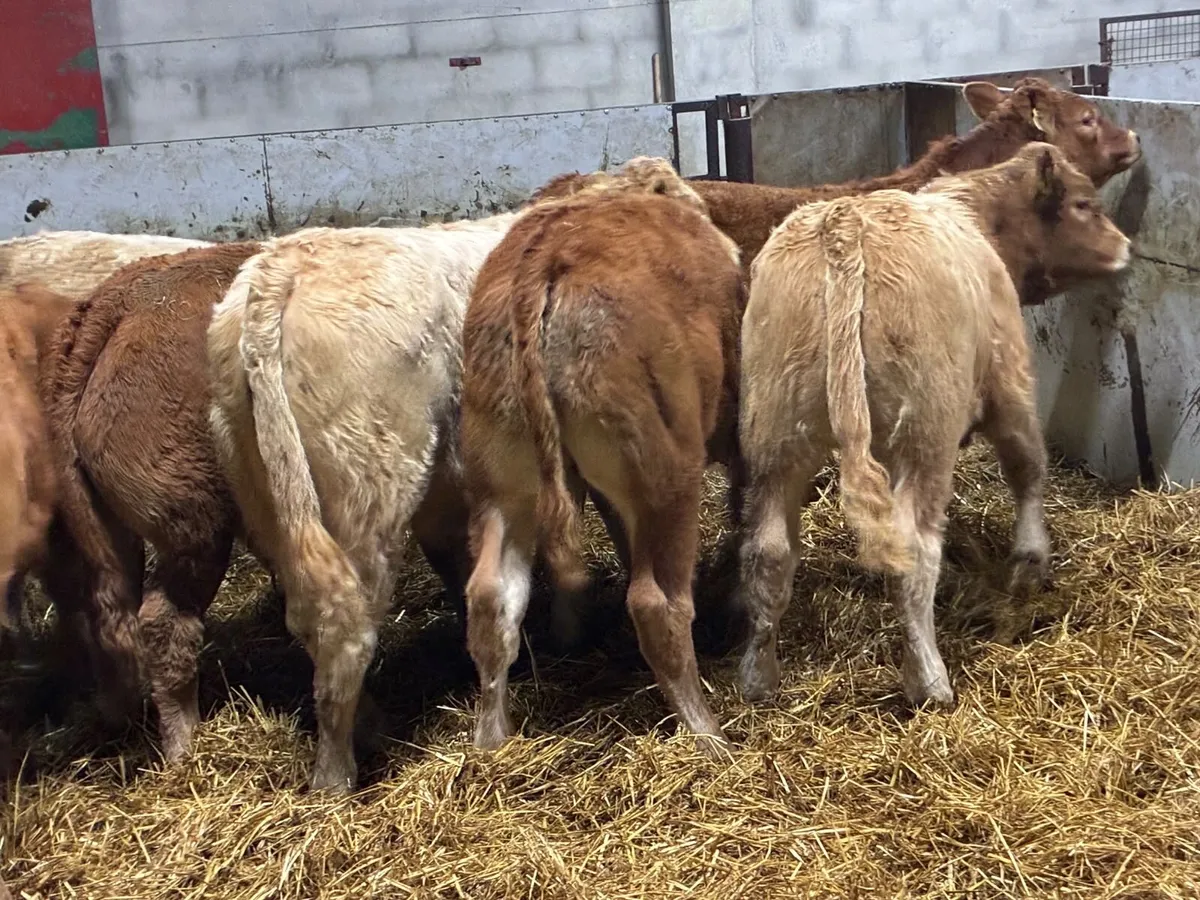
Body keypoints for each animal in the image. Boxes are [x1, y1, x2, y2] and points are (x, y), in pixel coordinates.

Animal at [459, 162, 745, 761]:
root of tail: (543, 262)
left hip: (503, 481)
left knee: (493, 599)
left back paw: (491, 743)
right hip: (667, 478)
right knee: (657, 602)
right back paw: (708, 735)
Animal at [733, 142, 1131, 708]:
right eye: (1083, 204)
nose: (1126, 247)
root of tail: (845, 220)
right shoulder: (1009, 383)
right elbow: (1028, 466)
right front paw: (1031, 561)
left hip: (775, 435)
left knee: (768, 553)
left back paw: (758, 678)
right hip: (923, 436)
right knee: (914, 553)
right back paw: (930, 681)